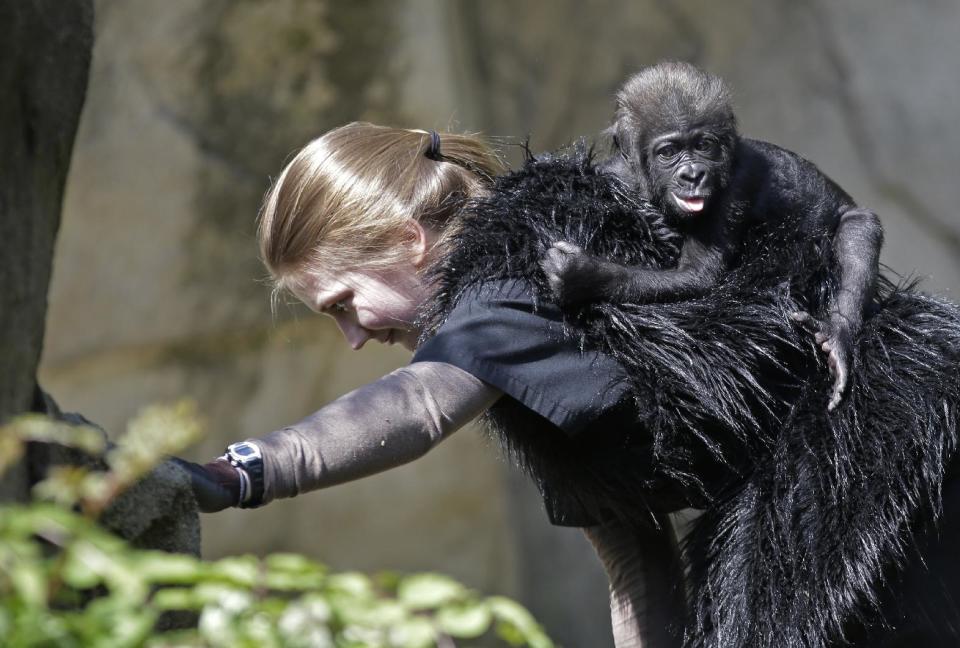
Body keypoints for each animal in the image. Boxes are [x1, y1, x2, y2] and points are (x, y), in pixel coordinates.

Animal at [544, 64, 880, 410]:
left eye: (703, 146)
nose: (692, 175)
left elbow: (699, 276)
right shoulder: (617, 171)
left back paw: (838, 335)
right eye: (668, 152)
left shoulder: (736, 183)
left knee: (858, 225)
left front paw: (582, 275)